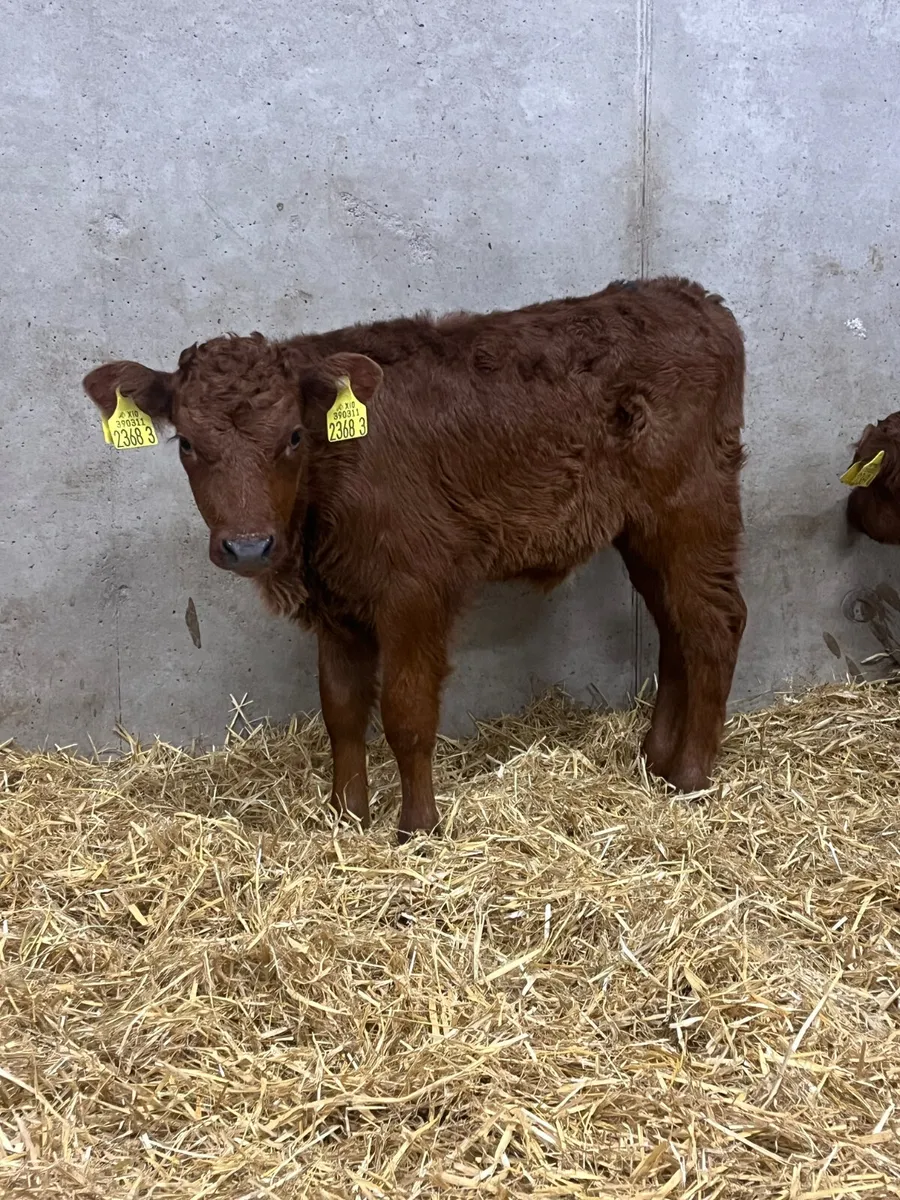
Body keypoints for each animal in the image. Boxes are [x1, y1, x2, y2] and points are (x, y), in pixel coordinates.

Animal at [82, 277, 747, 840]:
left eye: (293, 437)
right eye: (188, 445)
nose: (249, 546)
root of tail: (693, 298)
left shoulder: (414, 588)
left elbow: (407, 712)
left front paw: (418, 830)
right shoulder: (336, 601)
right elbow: (342, 709)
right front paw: (347, 817)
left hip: (692, 511)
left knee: (715, 625)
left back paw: (690, 778)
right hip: (644, 532)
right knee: (676, 628)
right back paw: (653, 761)